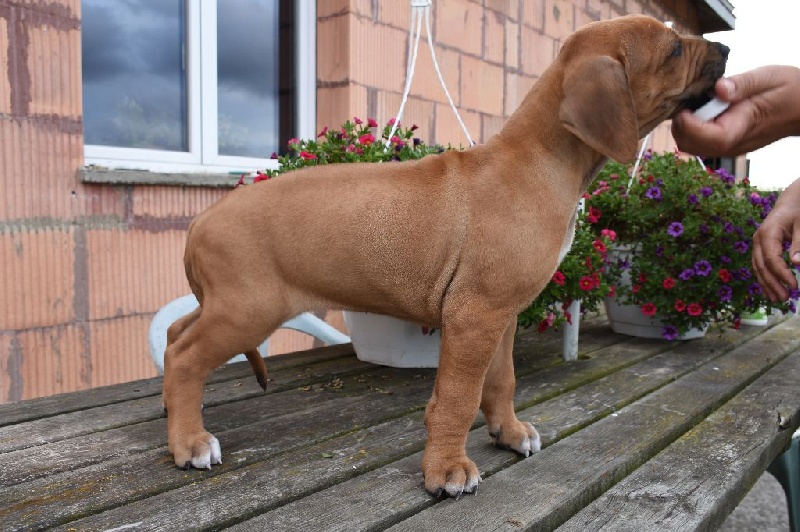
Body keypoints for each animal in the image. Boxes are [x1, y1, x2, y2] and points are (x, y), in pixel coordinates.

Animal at [162, 15, 728, 498]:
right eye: (675, 49)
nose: (724, 49)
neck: (539, 159)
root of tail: (201, 222)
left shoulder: (500, 313)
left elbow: (501, 380)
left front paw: (508, 432)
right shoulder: (474, 313)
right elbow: (457, 397)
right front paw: (446, 470)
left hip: (226, 304)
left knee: (174, 336)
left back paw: (173, 413)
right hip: (249, 307)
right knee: (187, 355)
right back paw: (189, 442)